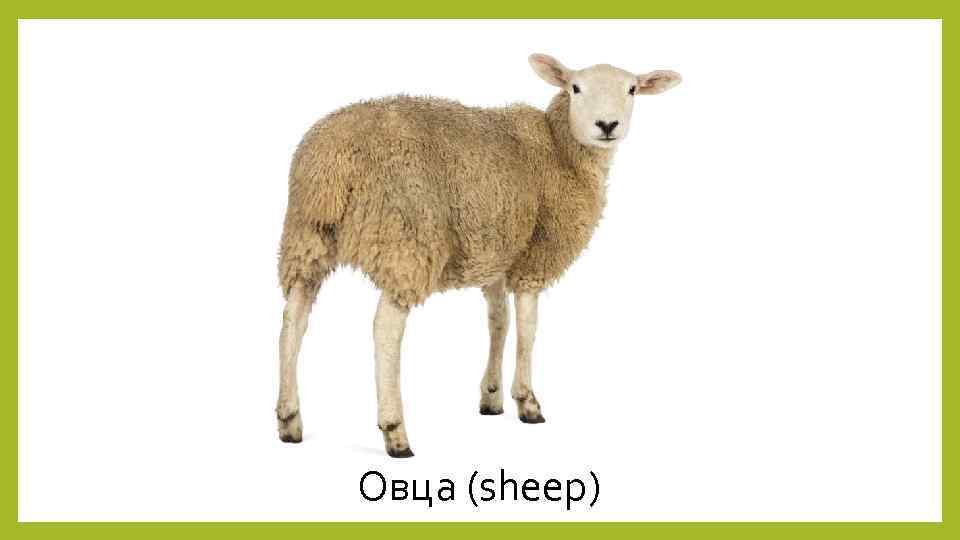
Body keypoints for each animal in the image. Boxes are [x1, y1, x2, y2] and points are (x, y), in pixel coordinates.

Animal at [276, 54, 681, 457]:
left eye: (632, 89)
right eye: (575, 88)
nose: (607, 125)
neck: (559, 148)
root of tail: (335, 162)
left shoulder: (497, 254)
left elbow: (498, 321)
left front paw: (491, 397)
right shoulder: (535, 255)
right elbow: (528, 328)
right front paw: (527, 401)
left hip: (307, 237)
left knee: (293, 321)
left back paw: (288, 419)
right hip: (406, 239)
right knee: (384, 330)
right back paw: (395, 432)